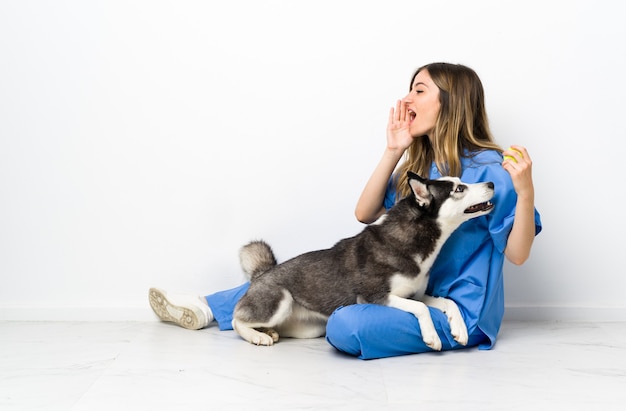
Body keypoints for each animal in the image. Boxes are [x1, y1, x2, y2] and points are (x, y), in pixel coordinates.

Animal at [230, 171, 492, 350]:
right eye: (459, 189)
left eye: (461, 182)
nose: (491, 183)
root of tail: (261, 274)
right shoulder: (375, 297)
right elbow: (421, 309)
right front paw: (432, 336)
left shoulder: (415, 294)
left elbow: (449, 302)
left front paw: (459, 329)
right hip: (280, 301)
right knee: (236, 319)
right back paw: (258, 335)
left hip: (308, 329)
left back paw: (268, 332)